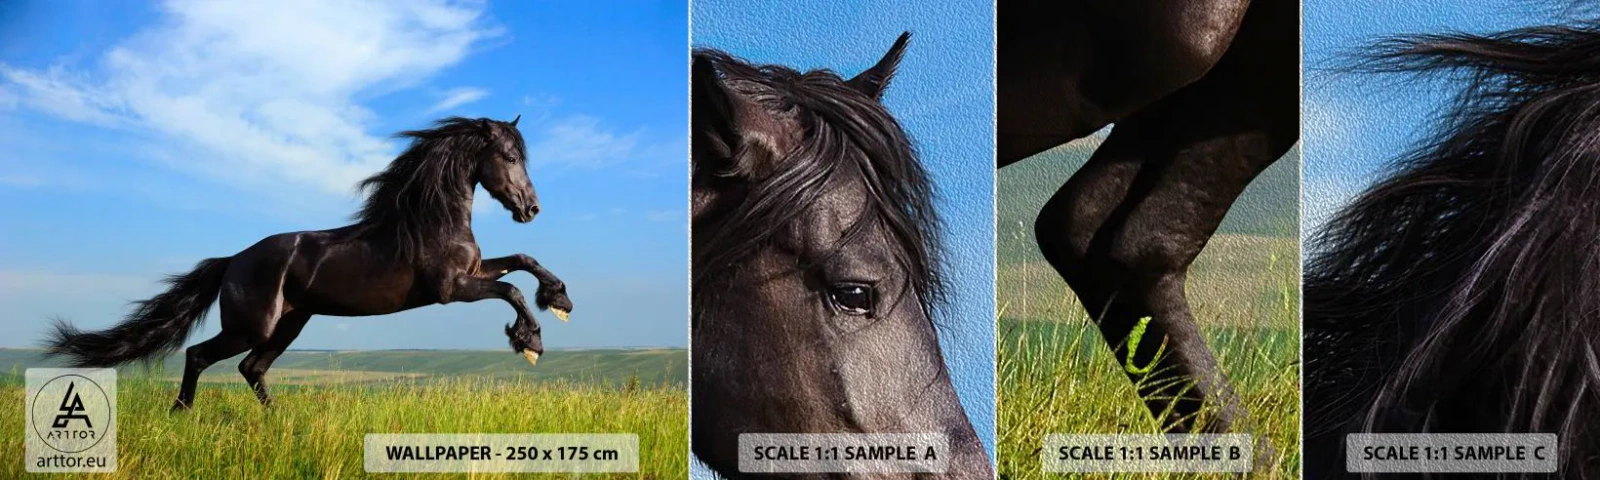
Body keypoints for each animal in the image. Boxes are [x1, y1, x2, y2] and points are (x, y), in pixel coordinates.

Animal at [43, 116, 574, 411]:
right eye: (509, 157)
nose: (531, 209)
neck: (431, 220)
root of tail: (232, 261)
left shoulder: (473, 272)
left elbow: (523, 261)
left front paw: (559, 300)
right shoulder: (450, 289)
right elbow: (510, 290)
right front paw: (530, 342)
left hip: (291, 324)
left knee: (252, 368)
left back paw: (277, 419)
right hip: (252, 325)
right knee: (201, 356)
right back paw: (181, 413)